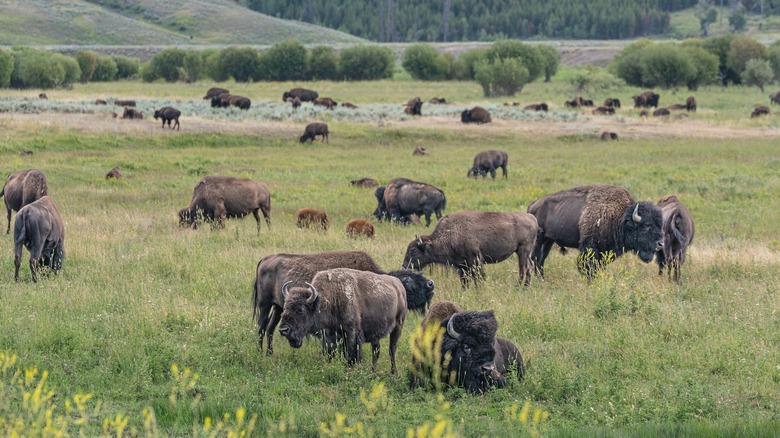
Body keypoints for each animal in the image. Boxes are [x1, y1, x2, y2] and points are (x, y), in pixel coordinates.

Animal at [251, 250, 430, 356]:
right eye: (410, 282)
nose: (430, 285)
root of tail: (265, 259)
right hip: (265, 305)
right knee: (262, 326)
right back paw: (260, 352)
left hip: (278, 307)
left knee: (270, 328)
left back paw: (269, 353)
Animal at [278, 270, 408, 372]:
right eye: (285, 308)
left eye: (300, 310)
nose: (283, 329)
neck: (330, 299)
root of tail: (399, 286)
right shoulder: (329, 338)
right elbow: (331, 353)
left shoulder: (351, 334)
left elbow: (351, 355)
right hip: (376, 335)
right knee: (376, 350)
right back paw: (373, 371)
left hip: (398, 326)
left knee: (392, 349)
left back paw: (394, 372)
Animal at [402, 210, 536, 286]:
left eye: (413, 250)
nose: (404, 267)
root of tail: (532, 217)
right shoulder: (462, 266)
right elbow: (465, 281)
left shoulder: (475, 260)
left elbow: (478, 278)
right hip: (524, 252)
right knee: (529, 266)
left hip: (523, 250)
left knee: (523, 268)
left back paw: (519, 287)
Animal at [528, 183, 660, 278]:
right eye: (646, 225)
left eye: (659, 225)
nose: (660, 244)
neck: (620, 217)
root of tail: (533, 205)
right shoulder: (589, 247)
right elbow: (588, 268)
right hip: (539, 240)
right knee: (536, 259)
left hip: (548, 241)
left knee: (540, 261)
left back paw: (542, 279)